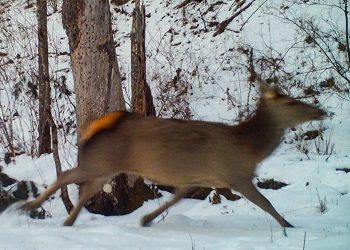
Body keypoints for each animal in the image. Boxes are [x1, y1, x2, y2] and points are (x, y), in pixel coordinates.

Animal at [21, 84, 326, 227]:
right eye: (291, 102)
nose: (320, 110)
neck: (251, 148)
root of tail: (92, 128)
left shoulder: (200, 177)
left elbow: (179, 196)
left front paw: (146, 219)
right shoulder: (236, 175)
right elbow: (267, 203)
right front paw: (289, 226)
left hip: (106, 166)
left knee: (84, 187)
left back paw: (68, 220)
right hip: (99, 162)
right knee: (66, 174)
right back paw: (29, 205)